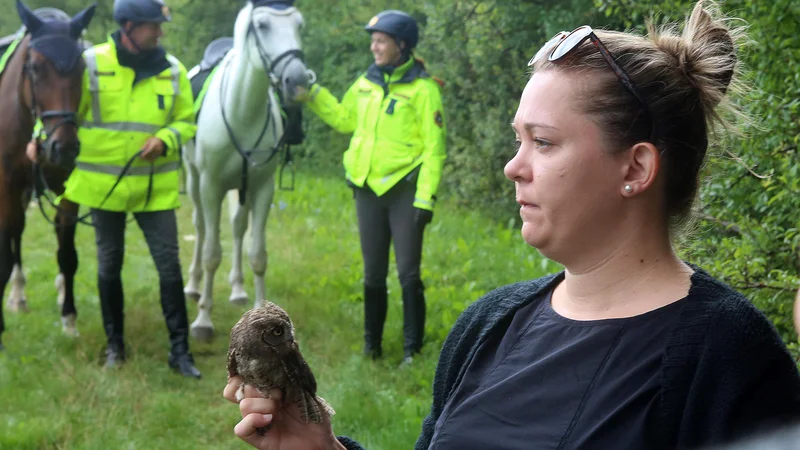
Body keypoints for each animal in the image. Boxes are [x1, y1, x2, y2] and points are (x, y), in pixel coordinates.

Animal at [0, 0, 96, 352]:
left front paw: (69, 319)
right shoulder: (7, 185)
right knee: (15, 236)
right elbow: (5, 252)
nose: (63, 146)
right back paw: (17, 296)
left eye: (81, 68)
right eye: (36, 68)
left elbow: (67, 254)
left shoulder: (68, 187)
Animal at [184, 0, 312, 342]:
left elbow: (258, 254)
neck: (241, 110)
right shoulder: (211, 187)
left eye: (299, 25)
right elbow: (212, 253)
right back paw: (193, 285)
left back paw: (238, 290)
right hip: (195, 181)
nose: (298, 80)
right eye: (263, 26)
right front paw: (203, 321)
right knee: (201, 228)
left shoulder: (262, 187)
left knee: (238, 227)